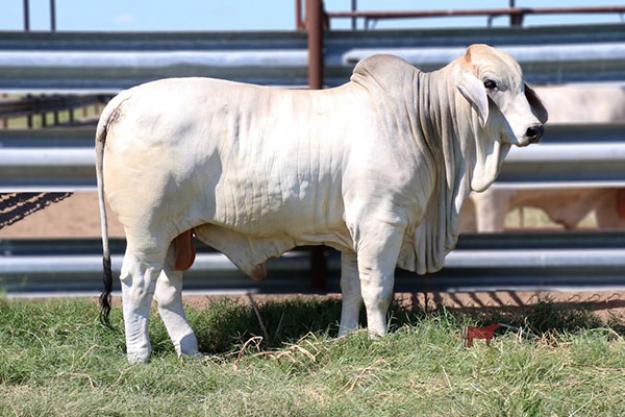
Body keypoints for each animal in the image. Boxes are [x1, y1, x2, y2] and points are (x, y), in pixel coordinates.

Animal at [95, 44, 547, 364]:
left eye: (521, 83)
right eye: (490, 84)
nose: (534, 129)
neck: (422, 121)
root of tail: (125, 100)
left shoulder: (353, 235)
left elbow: (351, 287)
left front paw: (347, 335)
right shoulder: (381, 222)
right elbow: (378, 288)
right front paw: (379, 338)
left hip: (176, 234)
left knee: (167, 289)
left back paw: (190, 351)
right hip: (148, 229)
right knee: (137, 282)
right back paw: (140, 355)